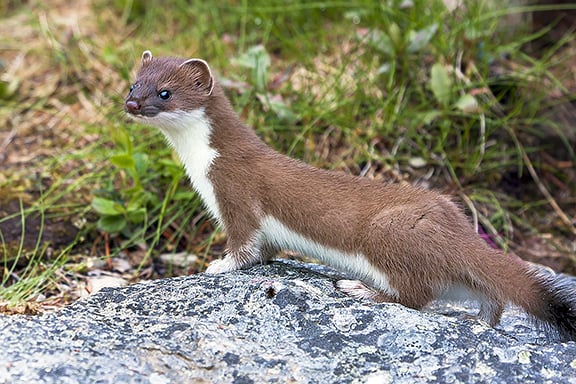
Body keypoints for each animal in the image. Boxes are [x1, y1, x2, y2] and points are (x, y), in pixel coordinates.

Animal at [126, 50, 576, 340]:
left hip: (388, 233)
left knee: (416, 296)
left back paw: (360, 289)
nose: (131, 103)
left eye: (165, 92)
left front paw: (218, 264)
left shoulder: (236, 195)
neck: (200, 166)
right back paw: (479, 321)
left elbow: (244, 244)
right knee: (488, 292)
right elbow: (266, 249)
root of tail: (455, 227)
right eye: (134, 83)